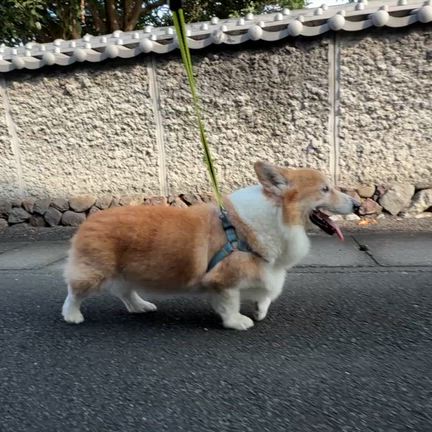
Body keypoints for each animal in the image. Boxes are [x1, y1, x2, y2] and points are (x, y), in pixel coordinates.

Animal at [62, 161, 360, 330]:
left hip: (127, 271)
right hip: (95, 272)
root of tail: (88, 219)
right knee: (74, 293)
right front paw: (238, 322)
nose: (358, 205)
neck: (277, 215)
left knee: (125, 291)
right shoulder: (224, 279)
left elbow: (266, 294)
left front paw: (259, 310)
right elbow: (230, 303)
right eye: (325, 189)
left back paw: (140, 306)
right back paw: (72, 316)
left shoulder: (264, 271)